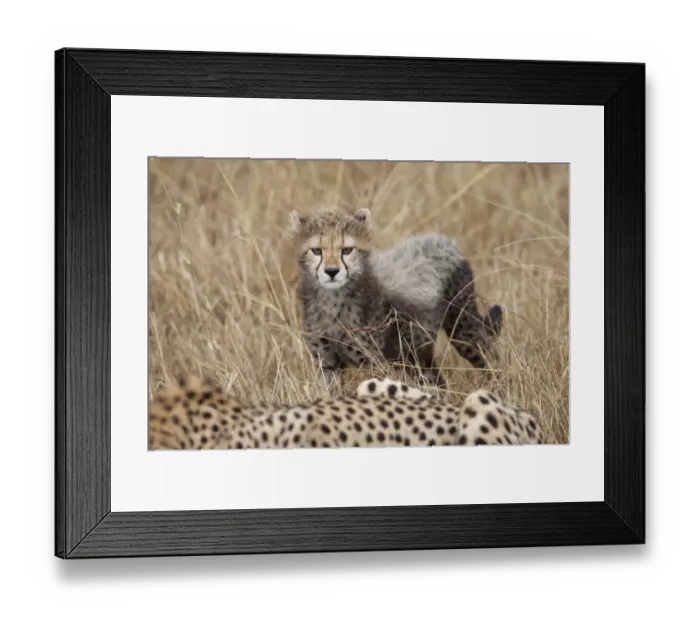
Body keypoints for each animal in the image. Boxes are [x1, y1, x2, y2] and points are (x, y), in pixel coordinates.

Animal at [289, 206, 504, 390]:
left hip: (463, 331)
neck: (333, 299)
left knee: (489, 358)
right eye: (317, 250)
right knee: (436, 381)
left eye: (347, 250)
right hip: (415, 355)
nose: (332, 271)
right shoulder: (327, 365)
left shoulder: (374, 364)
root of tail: (443, 240)